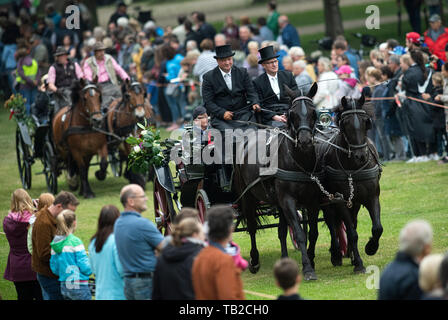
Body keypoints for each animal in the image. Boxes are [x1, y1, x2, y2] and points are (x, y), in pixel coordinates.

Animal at [233, 82, 324, 280]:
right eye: (292, 114)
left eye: (314, 113)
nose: (305, 141)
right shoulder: (288, 200)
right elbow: (299, 233)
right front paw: (308, 269)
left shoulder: (312, 200)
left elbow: (312, 232)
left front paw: (310, 260)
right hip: (248, 197)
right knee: (252, 227)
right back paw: (254, 260)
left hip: (278, 200)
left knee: (281, 230)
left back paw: (284, 259)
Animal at [320, 95, 384, 272]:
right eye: (346, 123)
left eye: (365, 122)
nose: (361, 156)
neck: (353, 168)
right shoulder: (340, 201)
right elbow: (351, 233)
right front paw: (359, 264)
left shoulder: (372, 196)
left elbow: (377, 228)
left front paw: (370, 248)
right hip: (327, 201)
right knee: (332, 223)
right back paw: (336, 254)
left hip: (354, 202)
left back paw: (349, 254)